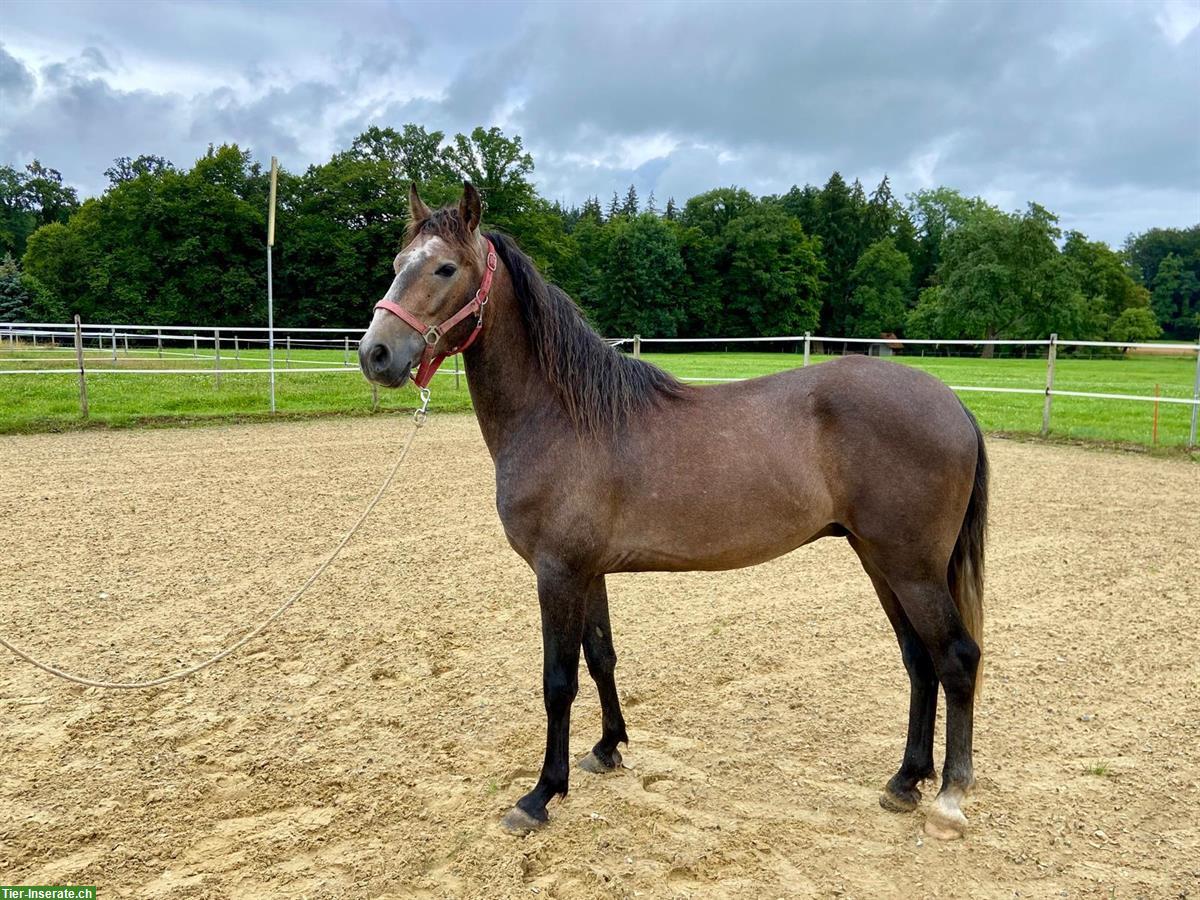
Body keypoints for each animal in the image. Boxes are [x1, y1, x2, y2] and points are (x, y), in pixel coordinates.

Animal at [357, 183, 993, 844]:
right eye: (399, 262)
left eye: (444, 268)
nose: (376, 354)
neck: (563, 415)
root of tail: (951, 403)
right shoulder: (588, 572)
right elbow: (601, 658)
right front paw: (608, 748)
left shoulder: (557, 573)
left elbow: (558, 682)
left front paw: (541, 794)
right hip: (880, 561)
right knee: (920, 662)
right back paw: (905, 781)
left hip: (911, 568)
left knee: (956, 658)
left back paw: (948, 800)